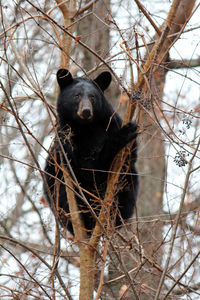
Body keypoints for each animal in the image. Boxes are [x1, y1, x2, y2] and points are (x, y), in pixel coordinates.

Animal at [43, 69, 138, 236]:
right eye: (76, 96)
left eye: (93, 97)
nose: (86, 111)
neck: (87, 127)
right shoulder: (67, 141)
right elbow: (89, 168)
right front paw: (125, 133)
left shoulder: (110, 122)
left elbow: (130, 156)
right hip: (53, 182)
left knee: (128, 191)